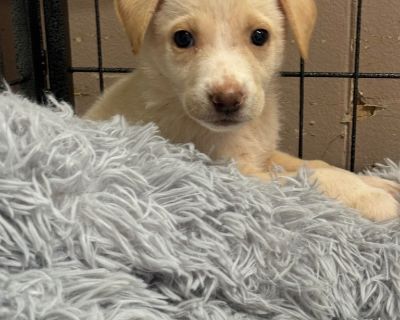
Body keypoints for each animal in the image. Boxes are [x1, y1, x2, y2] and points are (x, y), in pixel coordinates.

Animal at [85, 0, 400, 220]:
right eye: (183, 38)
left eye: (260, 36)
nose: (227, 99)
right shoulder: (232, 174)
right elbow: (312, 177)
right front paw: (368, 196)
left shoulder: (264, 153)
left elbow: (314, 164)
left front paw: (375, 182)